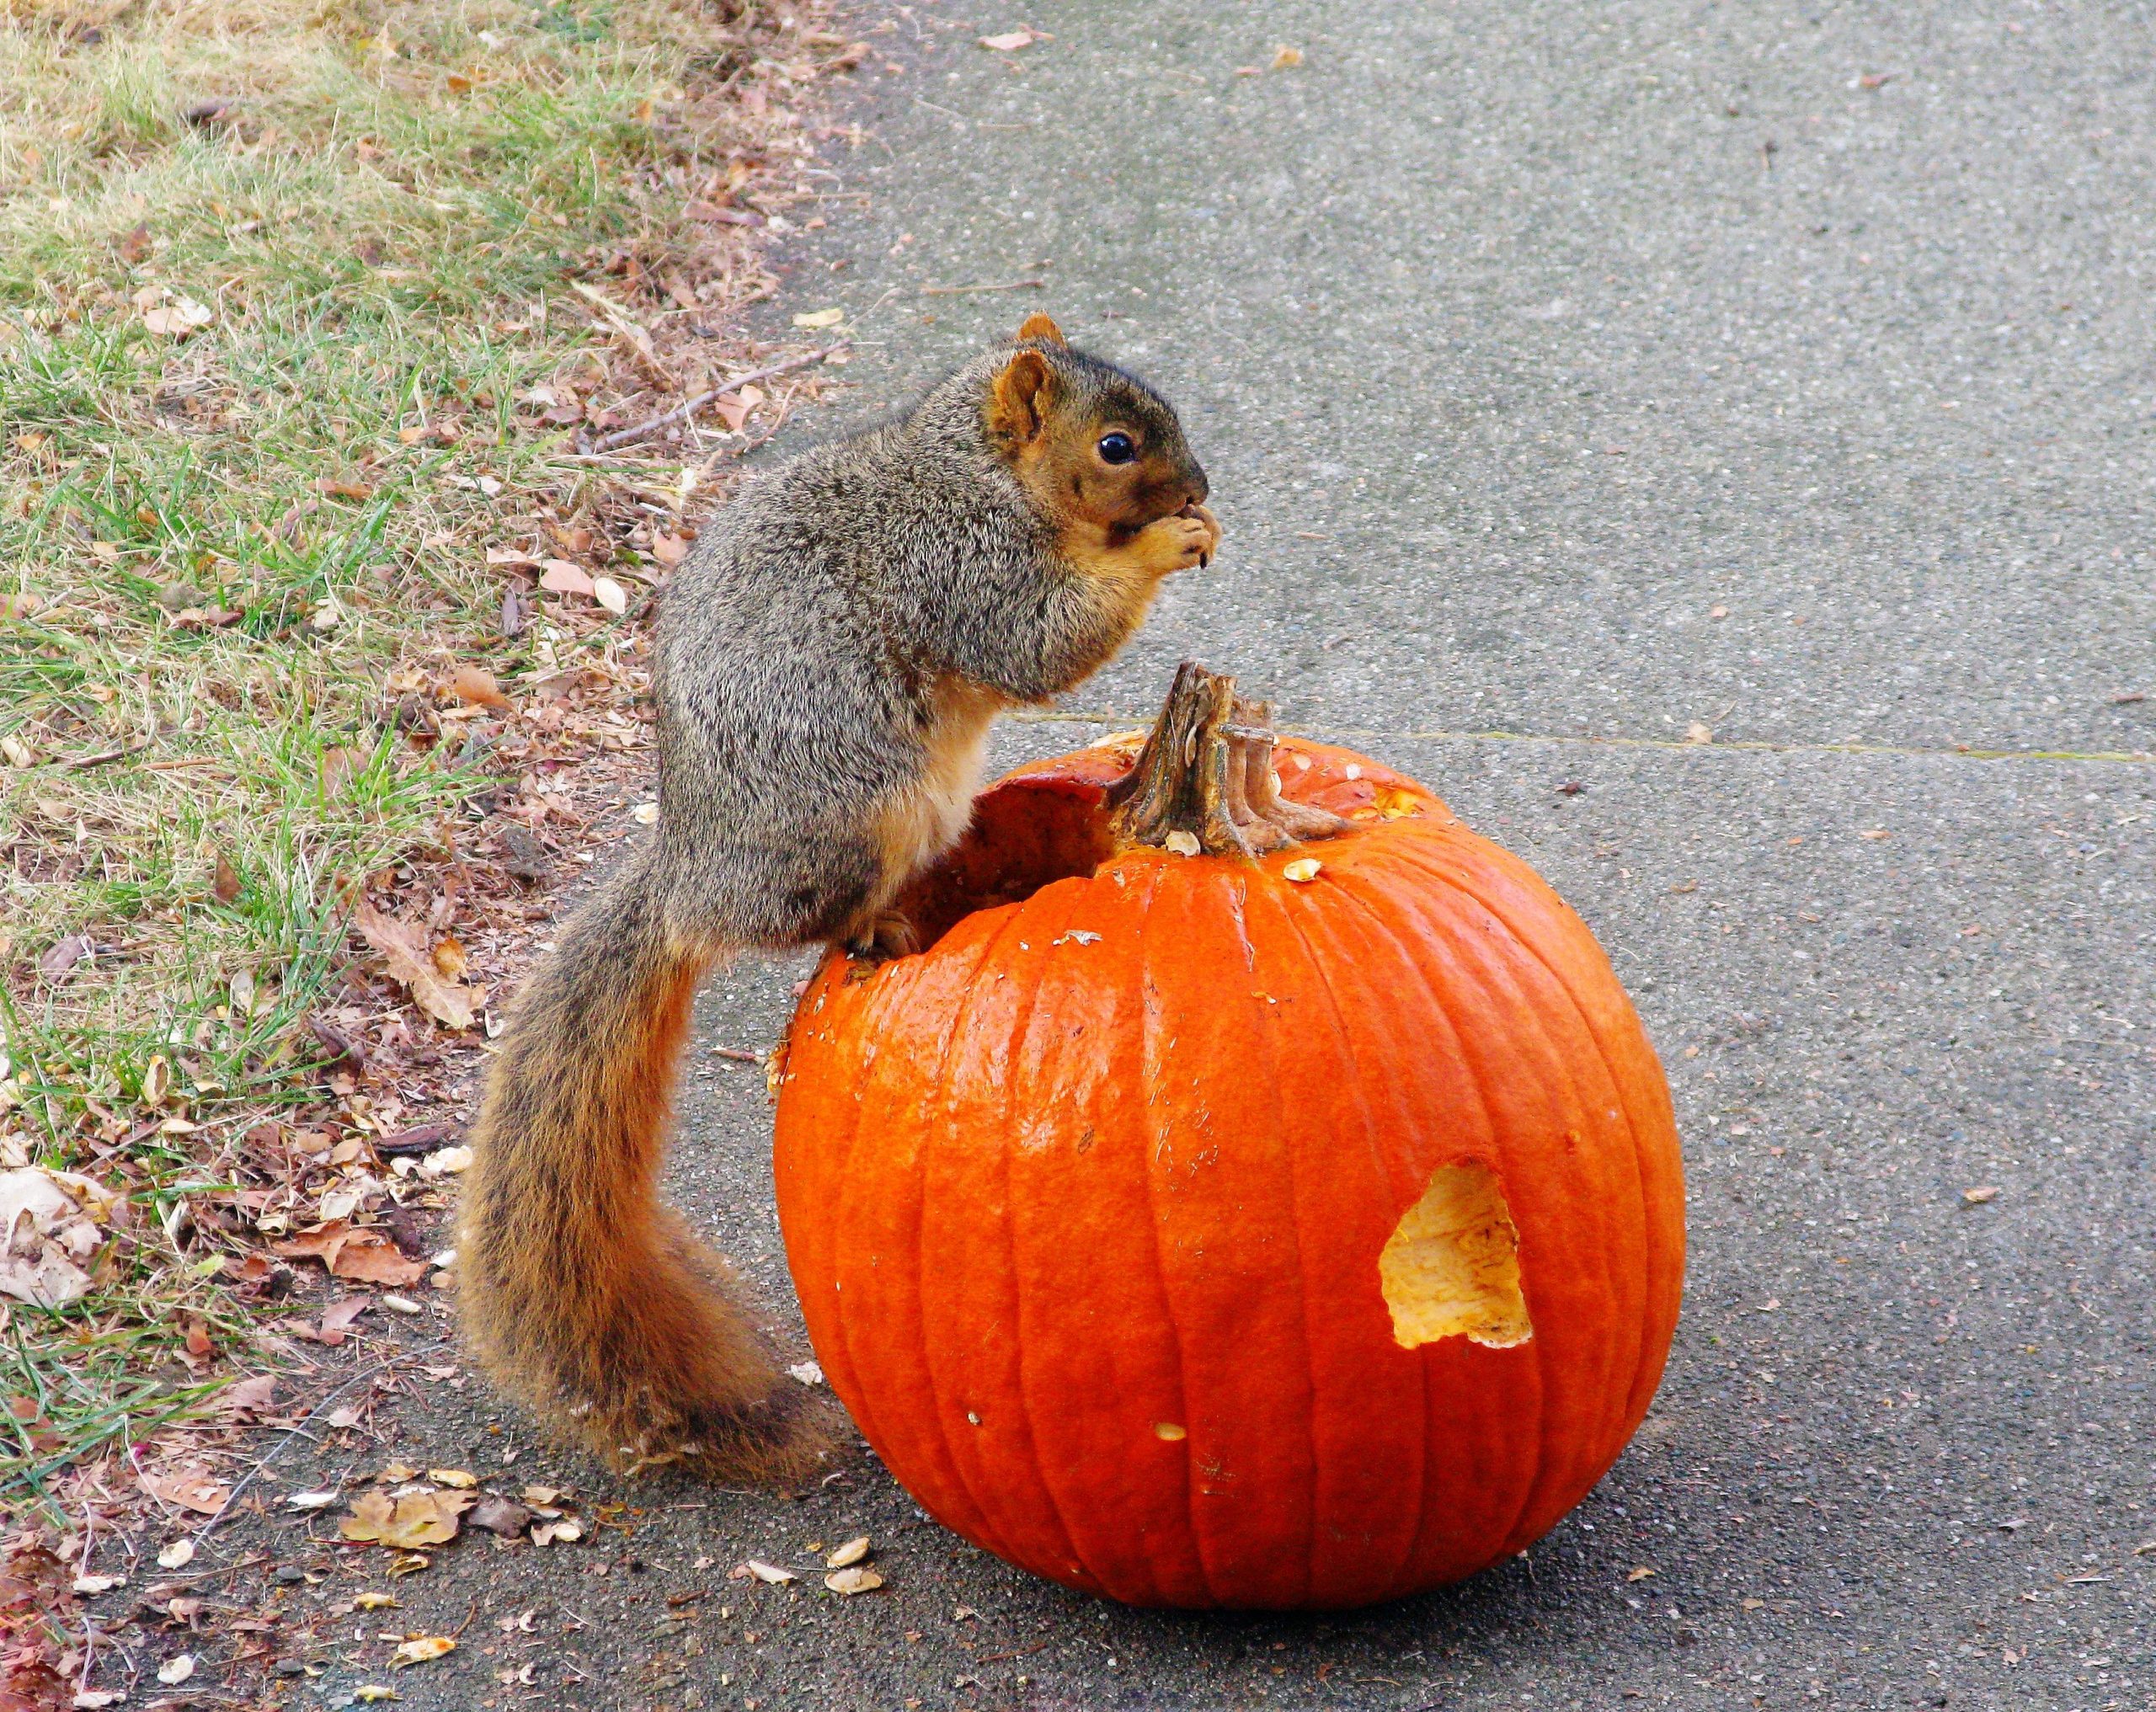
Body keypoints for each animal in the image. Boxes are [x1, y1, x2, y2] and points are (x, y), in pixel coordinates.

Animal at [458, 314, 1218, 1479]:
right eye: (1119, 446)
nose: (1202, 484)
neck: (976, 466)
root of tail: (688, 880)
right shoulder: (961, 564)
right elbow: (1039, 640)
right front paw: (1162, 545)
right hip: (853, 817)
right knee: (818, 921)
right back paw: (881, 925)